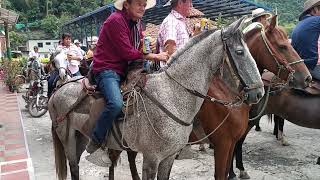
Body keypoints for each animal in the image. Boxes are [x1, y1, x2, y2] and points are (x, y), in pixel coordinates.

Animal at [106, 16, 312, 180]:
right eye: (283, 46)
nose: (307, 78)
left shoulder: (231, 142)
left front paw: (237, 171)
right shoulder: (223, 144)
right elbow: (220, 173)